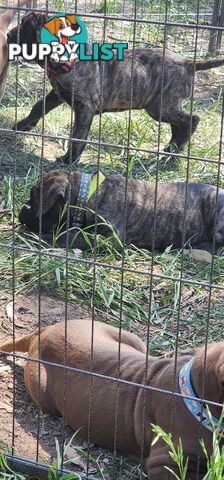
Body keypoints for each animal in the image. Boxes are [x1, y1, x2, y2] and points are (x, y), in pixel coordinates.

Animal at [7, 11, 224, 163]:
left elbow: (78, 136)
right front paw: (23, 125)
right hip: (165, 106)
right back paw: (172, 149)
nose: (8, 33)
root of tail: (188, 62)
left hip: (160, 106)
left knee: (192, 119)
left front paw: (69, 159)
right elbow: (38, 106)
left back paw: (174, 152)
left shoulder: (85, 107)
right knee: (178, 124)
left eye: (25, 27)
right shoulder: (57, 93)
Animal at [19, 171, 224, 253]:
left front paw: (39, 238)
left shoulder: (111, 238)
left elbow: (69, 236)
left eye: (34, 199)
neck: (89, 193)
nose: (23, 208)